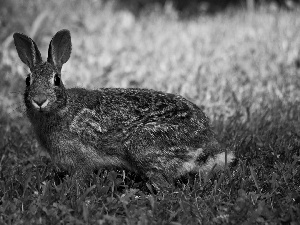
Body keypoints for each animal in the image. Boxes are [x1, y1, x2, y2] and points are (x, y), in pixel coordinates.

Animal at [13, 29, 234, 192]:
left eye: (56, 80)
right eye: (28, 80)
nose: (39, 100)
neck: (62, 108)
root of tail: (204, 141)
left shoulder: (80, 159)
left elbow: (80, 176)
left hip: (143, 146)